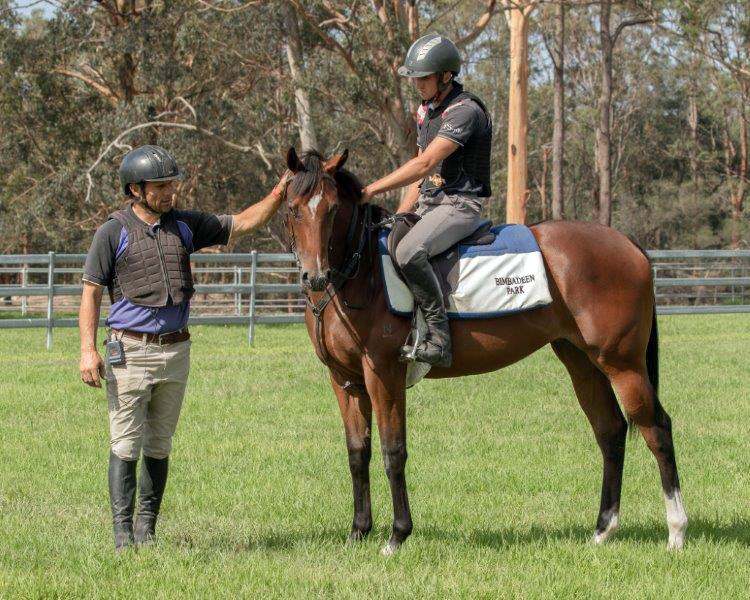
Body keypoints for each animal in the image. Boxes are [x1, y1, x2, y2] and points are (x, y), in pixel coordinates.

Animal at [283, 147, 687, 555]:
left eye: (333, 209)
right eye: (292, 207)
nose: (315, 276)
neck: (362, 273)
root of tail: (628, 244)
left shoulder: (383, 373)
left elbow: (393, 450)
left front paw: (396, 536)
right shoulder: (344, 380)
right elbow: (357, 452)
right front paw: (358, 532)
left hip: (622, 363)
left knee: (656, 429)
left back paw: (676, 531)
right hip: (582, 362)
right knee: (610, 430)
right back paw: (604, 529)